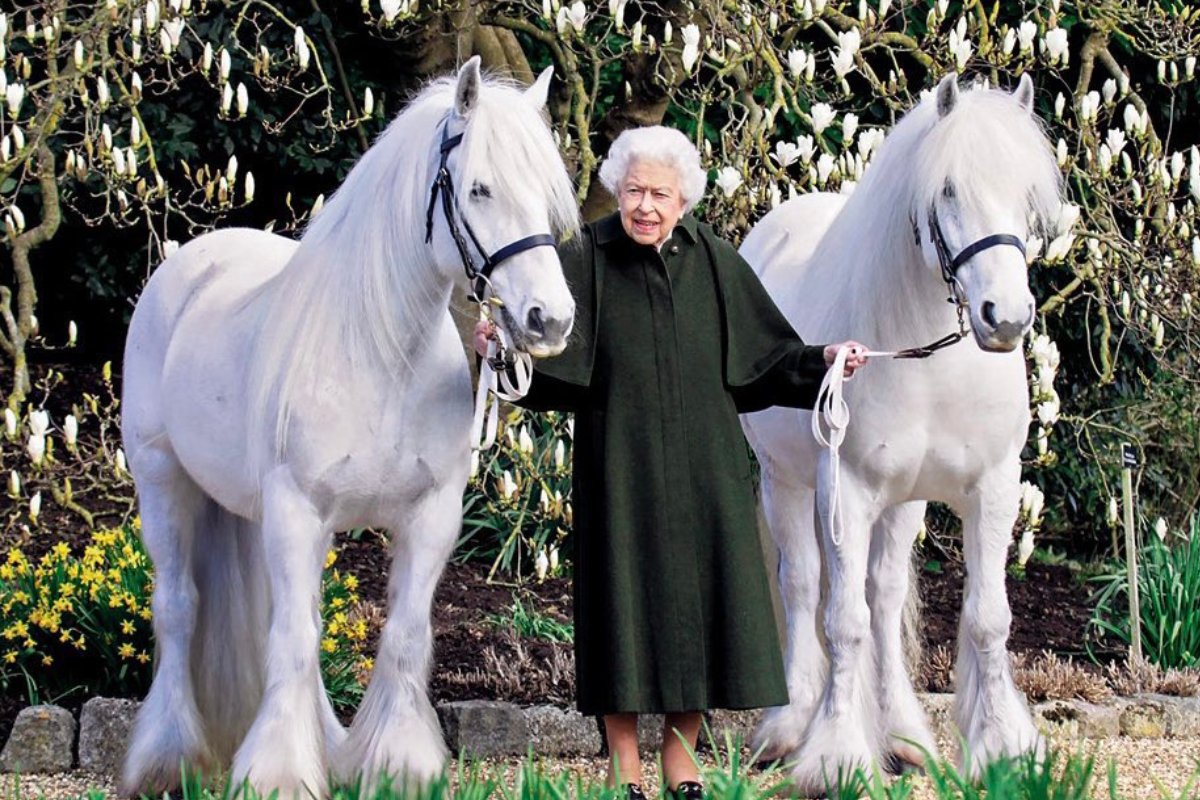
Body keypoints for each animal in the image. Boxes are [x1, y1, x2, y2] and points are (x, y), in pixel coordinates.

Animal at [119, 59, 578, 796]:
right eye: (479, 188)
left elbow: (402, 635)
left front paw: (398, 763)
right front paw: (278, 773)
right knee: (180, 607)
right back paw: (166, 759)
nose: (550, 319)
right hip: (163, 482)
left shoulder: (430, 515)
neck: (381, 356)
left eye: (544, 195)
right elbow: (293, 641)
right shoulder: (296, 510)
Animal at [739, 76, 1060, 796]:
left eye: (1026, 192)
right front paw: (835, 757)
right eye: (947, 191)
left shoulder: (992, 488)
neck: (929, 360)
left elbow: (986, 617)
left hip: (904, 502)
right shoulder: (847, 492)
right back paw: (788, 727)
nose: (1006, 317)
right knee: (804, 585)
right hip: (786, 484)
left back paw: (905, 737)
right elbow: (842, 621)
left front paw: (1001, 747)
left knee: (883, 599)